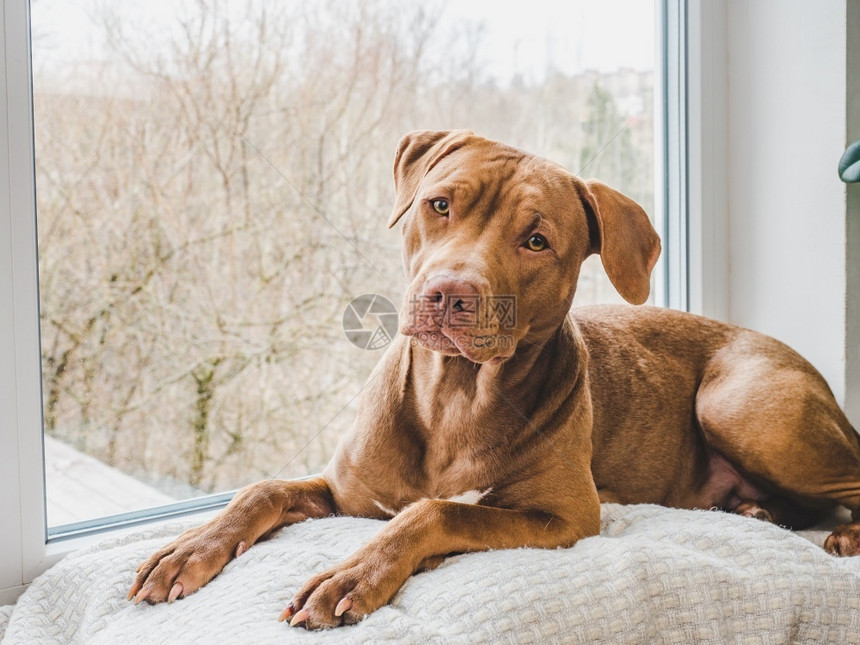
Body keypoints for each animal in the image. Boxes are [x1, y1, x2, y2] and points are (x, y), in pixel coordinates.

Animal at [126, 131, 860, 628]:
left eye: (537, 240)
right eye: (439, 205)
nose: (449, 292)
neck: (453, 395)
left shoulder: (564, 516)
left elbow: (438, 509)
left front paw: (353, 573)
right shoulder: (349, 491)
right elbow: (263, 488)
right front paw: (188, 549)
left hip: (738, 405)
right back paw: (757, 510)